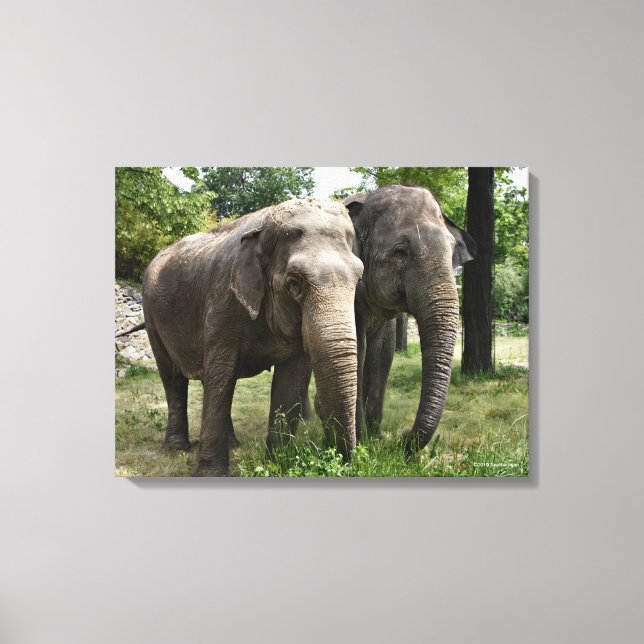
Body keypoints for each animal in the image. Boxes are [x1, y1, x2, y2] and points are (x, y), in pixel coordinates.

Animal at [142, 198, 363, 476]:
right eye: (294, 282)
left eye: (359, 278)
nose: (337, 458)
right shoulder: (223, 302)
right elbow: (221, 372)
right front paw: (210, 475)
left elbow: (291, 381)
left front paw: (278, 465)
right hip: (151, 316)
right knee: (174, 379)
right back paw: (177, 448)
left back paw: (232, 444)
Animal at [337, 184, 477, 453]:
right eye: (400, 252)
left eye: (452, 251)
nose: (401, 439)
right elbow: (356, 350)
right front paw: (360, 443)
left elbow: (383, 353)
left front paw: (375, 439)